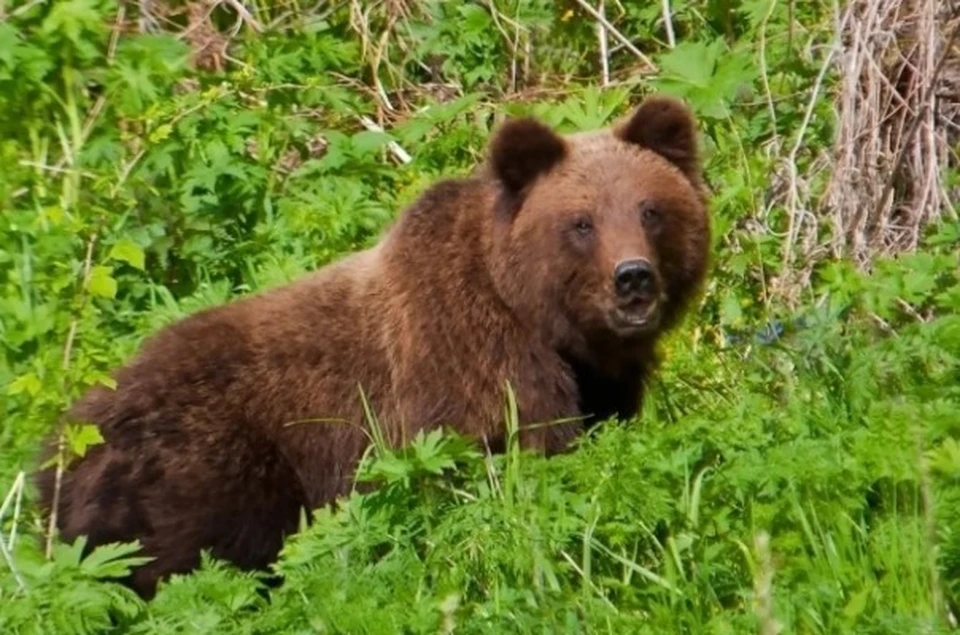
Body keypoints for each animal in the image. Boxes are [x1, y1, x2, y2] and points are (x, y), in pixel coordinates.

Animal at [35, 94, 711, 599]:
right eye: (581, 222)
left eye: (651, 210)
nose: (633, 278)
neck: (544, 323)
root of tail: (58, 449)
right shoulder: (462, 367)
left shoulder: (602, 383)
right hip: (196, 467)